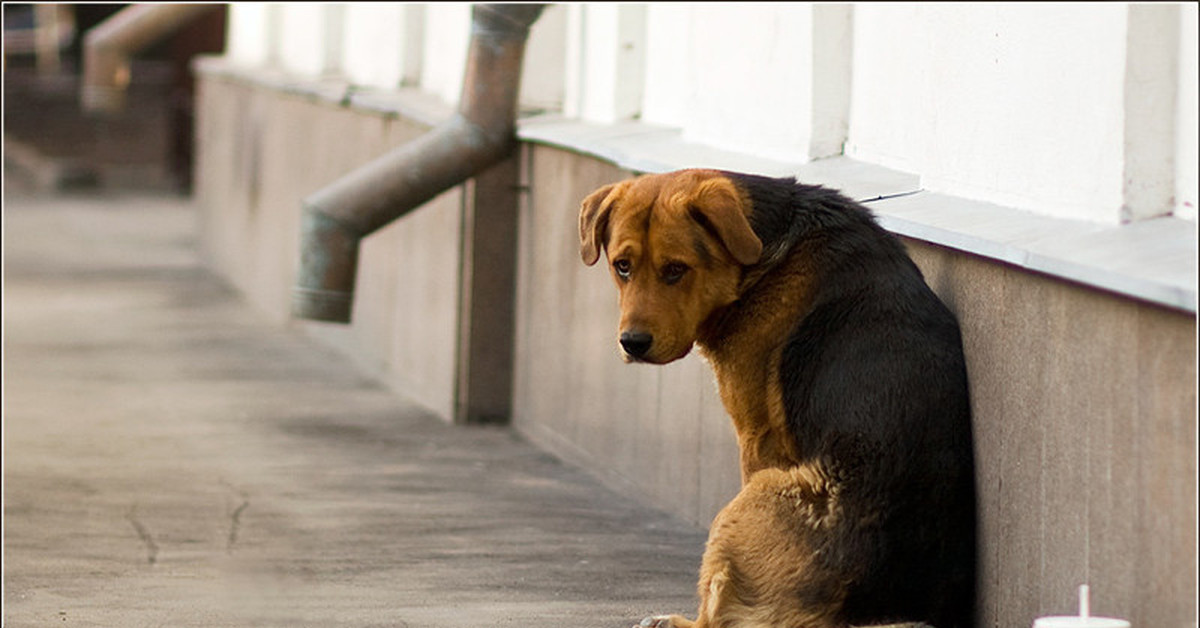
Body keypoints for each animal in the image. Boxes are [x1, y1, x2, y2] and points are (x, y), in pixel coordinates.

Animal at [578, 169, 974, 628]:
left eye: (676, 270)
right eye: (622, 267)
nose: (632, 343)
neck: (761, 256)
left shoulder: (755, 437)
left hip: (756, 494)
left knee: (713, 618)